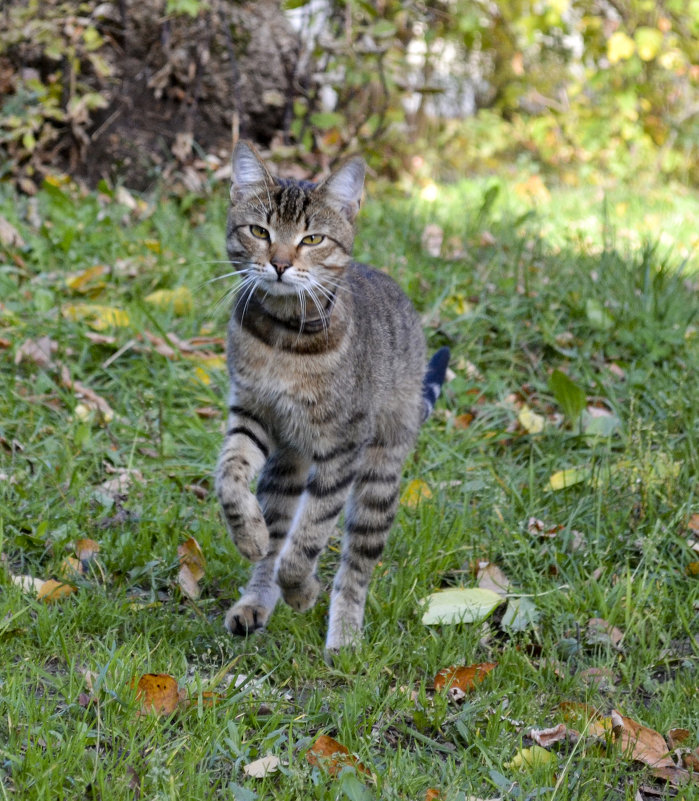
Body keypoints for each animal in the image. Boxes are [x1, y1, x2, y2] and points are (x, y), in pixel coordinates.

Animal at [216, 141, 452, 652]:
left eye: (312, 240)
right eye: (260, 231)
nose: (280, 263)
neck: (284, 338)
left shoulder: (342, 448)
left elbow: (307, 540)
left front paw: (302, 592)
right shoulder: (251, 412)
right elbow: (230, 477)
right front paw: (248, 537)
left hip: (379, 474)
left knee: (356, 565)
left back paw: (344, 634)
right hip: (286, 465)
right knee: (277, 531)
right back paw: (256, 600)